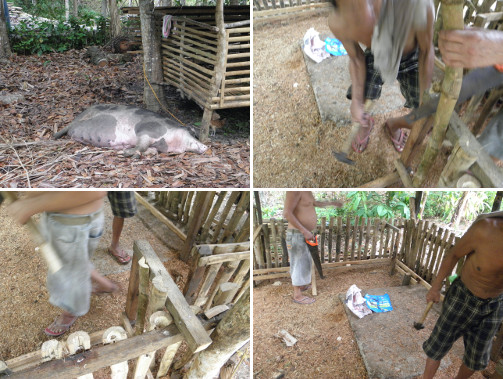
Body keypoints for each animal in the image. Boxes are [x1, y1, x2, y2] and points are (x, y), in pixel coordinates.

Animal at [55, 104, 211, 156]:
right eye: (193, 134)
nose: (207, 146)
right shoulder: (146, 131)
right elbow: (141, 145)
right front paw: (125, 153)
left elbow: (151, 150)